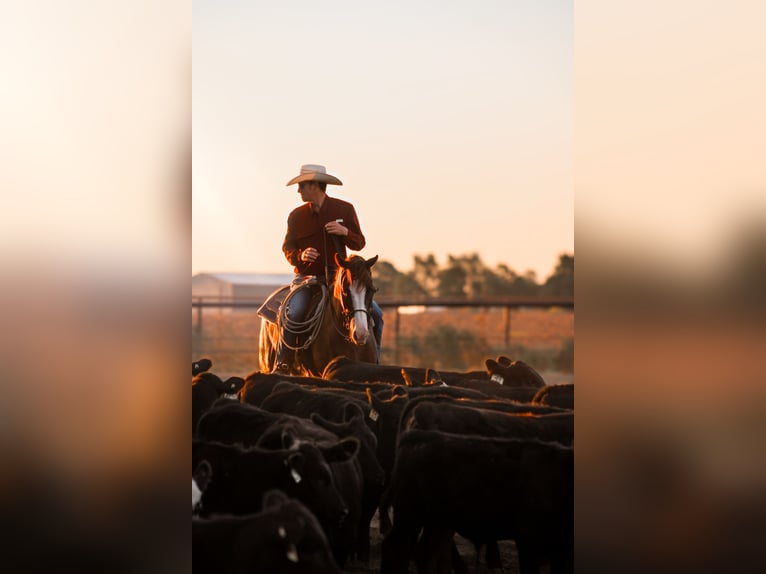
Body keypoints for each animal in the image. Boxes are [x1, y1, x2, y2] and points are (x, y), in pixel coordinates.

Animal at [380, 432, 572, 574]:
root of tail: (417, 437)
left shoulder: (559, 552)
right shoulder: (528, 541)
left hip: (437, 522)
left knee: (423, 553)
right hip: (410, 516)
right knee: (396, 549)